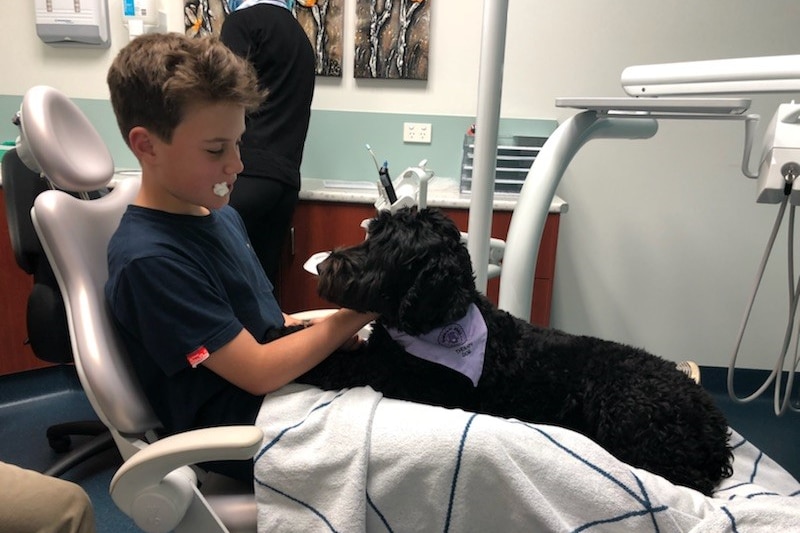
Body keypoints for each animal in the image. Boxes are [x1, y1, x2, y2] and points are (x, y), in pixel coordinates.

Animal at [290, 207, 732, 494]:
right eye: (370, 234)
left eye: (386, 246)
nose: (325, 265)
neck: (441, 318)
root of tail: (713, 421)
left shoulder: (394, 377)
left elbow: (340, 364)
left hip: (634, 419)